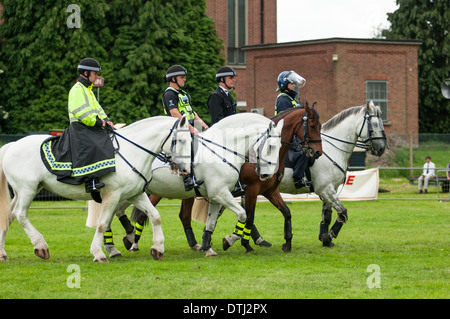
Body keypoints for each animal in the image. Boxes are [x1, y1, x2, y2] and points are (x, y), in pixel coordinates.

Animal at [0, 115, 192, 262]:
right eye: (181, 140)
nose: (186, 169)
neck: (132, 152)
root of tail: (11, 145)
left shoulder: (136, 194)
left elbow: (155, 216)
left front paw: (157, 248)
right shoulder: (112, 195)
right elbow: (102, 224)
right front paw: (99, 253)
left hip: (23, 192)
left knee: (8, 216)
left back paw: (3, 253)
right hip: (27, 190)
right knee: (20, 214)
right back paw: (40, 245)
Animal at [94, 114, 284, 258]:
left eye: (280, 146)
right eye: (271, 146)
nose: (267, 175)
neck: (222, 148)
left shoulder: (217, 196)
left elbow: (211, 223)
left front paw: (208, 247)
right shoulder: (221, 193)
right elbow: (244, 214)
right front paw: (229, 240)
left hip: (132, 191)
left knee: (118, 212)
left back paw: (126, 240)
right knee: (115, 214)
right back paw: (118, 245)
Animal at [125, 104, 324, 255]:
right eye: (313, 126)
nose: (317, 152)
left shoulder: (267, 190)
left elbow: (285, 212)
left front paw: (285, 242)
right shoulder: (247, 190)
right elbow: (248, 216)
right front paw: (237, 241)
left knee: (179, 216)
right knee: (143, 214)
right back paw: (132, 242)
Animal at [278, 102, 386, 248]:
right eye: (374, 124)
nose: (381, 148)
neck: (332, 149)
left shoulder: (331, 188)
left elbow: (327, 215)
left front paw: (325, 239)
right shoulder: (325, 189)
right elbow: (343, 212)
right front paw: (329, 236)